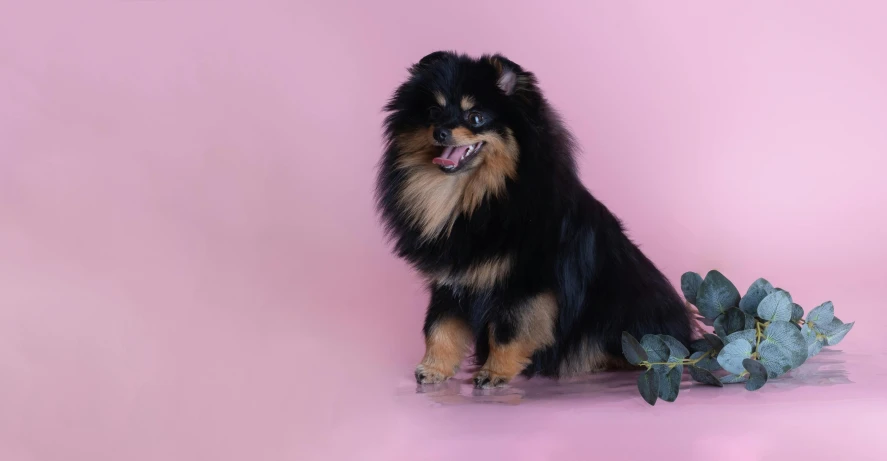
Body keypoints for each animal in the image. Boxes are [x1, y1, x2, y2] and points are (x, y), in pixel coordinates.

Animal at [374, 50, 692, 388]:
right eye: (433, 112)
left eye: (476, 117)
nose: (441, 132)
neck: (477, 198)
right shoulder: (451, 278)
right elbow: (439, 326)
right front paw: (434, 368)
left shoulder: (527, 285)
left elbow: (507, 331)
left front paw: (495, 372)